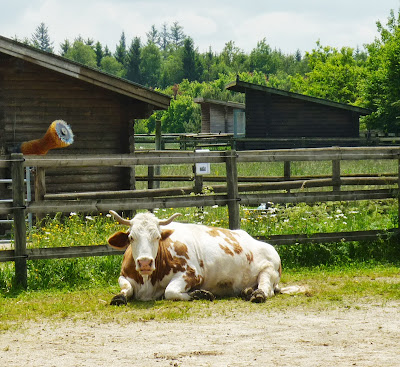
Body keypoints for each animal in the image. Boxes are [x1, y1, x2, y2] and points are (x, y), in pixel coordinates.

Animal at [108, 211, 298, 306]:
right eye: (131, 237)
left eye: (157, 236)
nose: (145, 262)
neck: (147, 282)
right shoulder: (124, 276)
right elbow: (126, 288)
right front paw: (119, 297)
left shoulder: (192, 275)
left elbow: (170, 292)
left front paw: (200, 294)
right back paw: (247, 291)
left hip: (269, 269)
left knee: (266, 288)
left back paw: (257, 294)